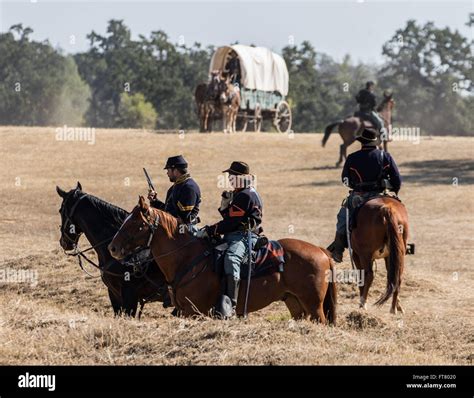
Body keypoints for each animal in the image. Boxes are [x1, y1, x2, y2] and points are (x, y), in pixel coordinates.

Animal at [107, 196, 336, 324]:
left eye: (136, 224)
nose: (112, 248)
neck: (187, 258)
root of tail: (321, 251)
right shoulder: (184, 311)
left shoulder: (194, 311)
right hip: (295, 304)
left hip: (314, 306)